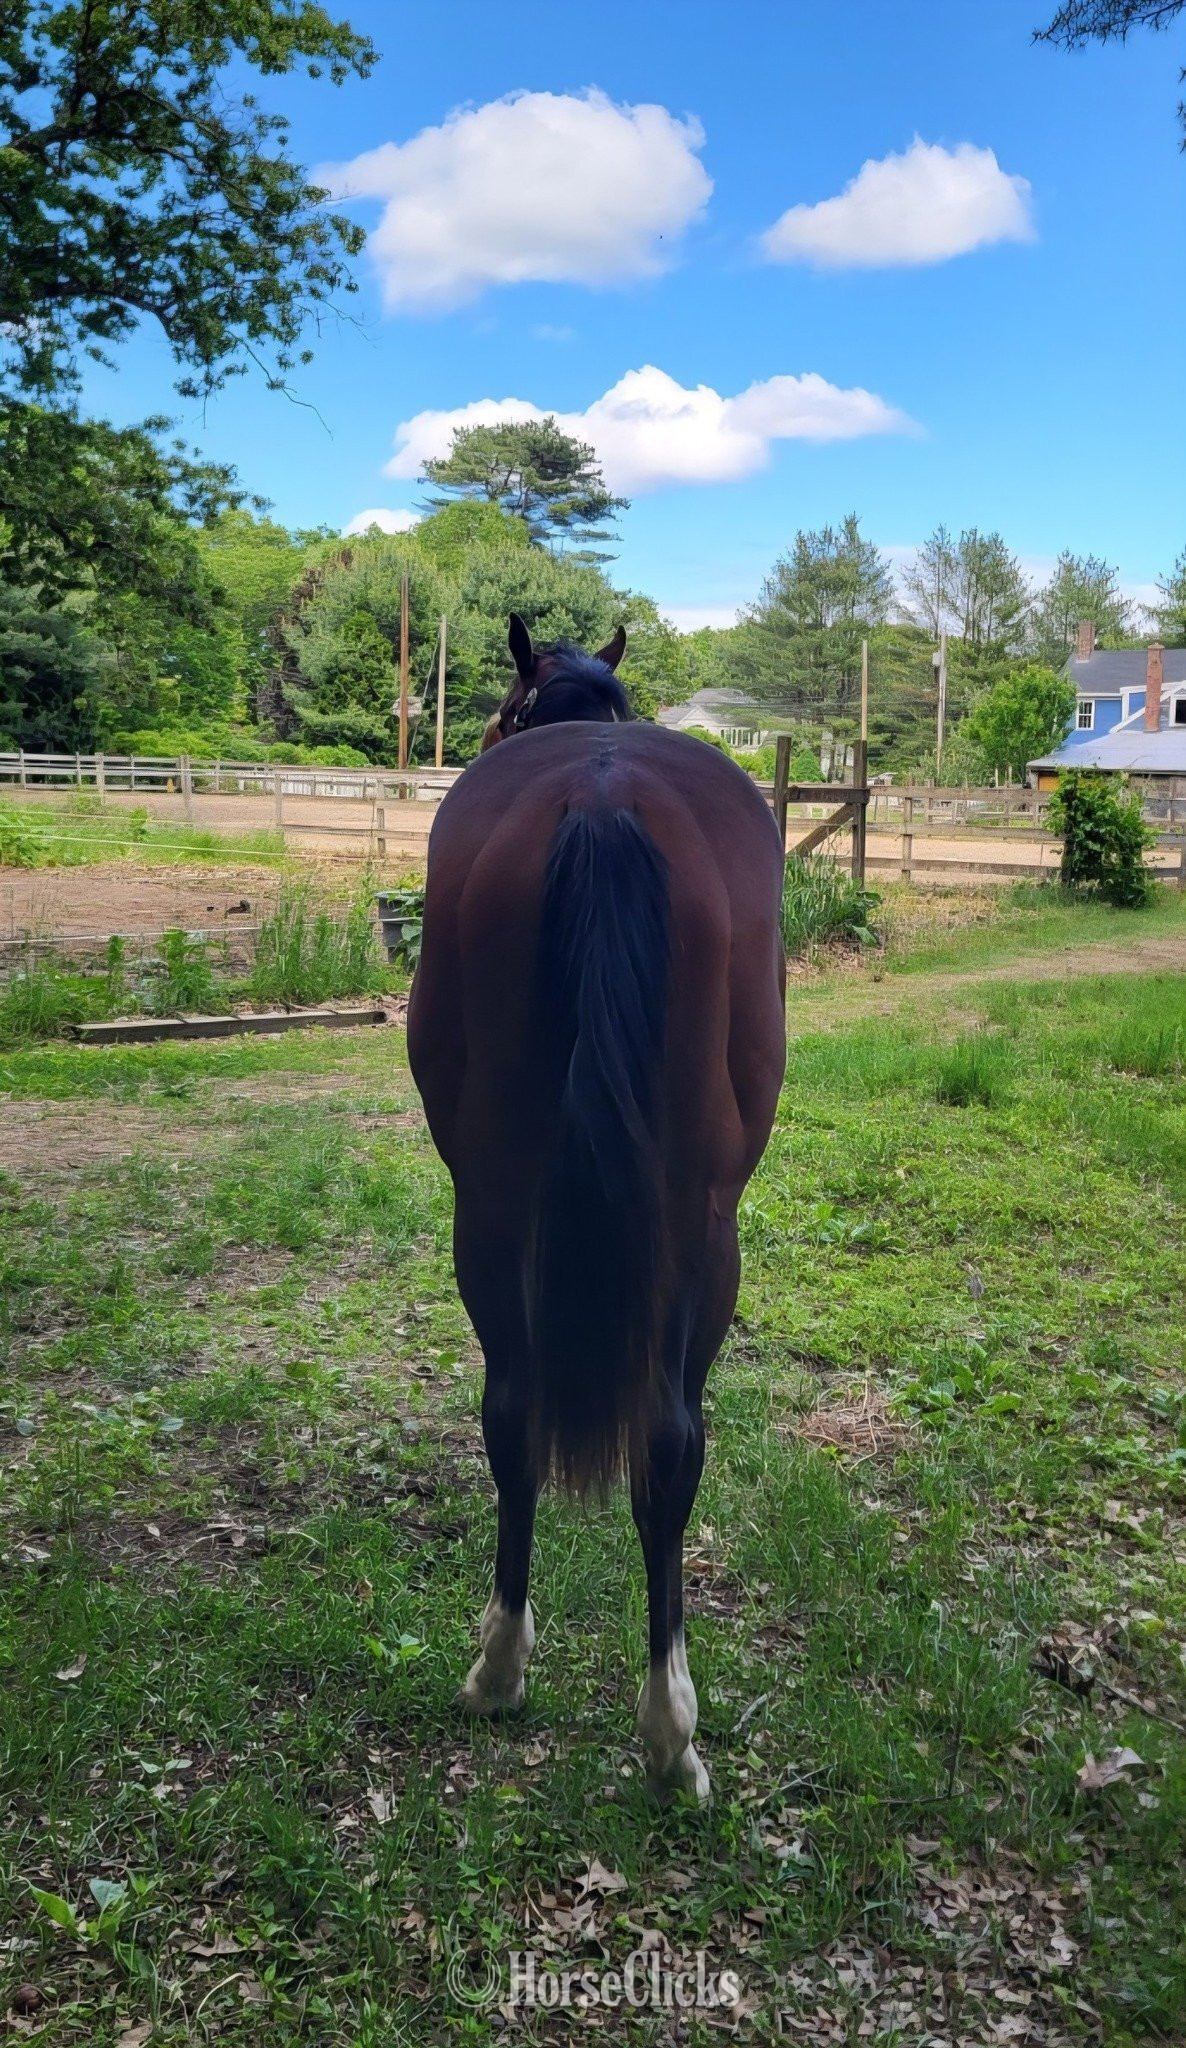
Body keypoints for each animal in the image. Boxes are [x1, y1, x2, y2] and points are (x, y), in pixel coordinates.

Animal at [407, 614, 786, 1801]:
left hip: (495, 1210)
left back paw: (528, 1678)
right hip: (696, 1227)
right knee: (655, 1441)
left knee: (522, 1411)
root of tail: (605, 800)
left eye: (503, 707)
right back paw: (652, 1726)